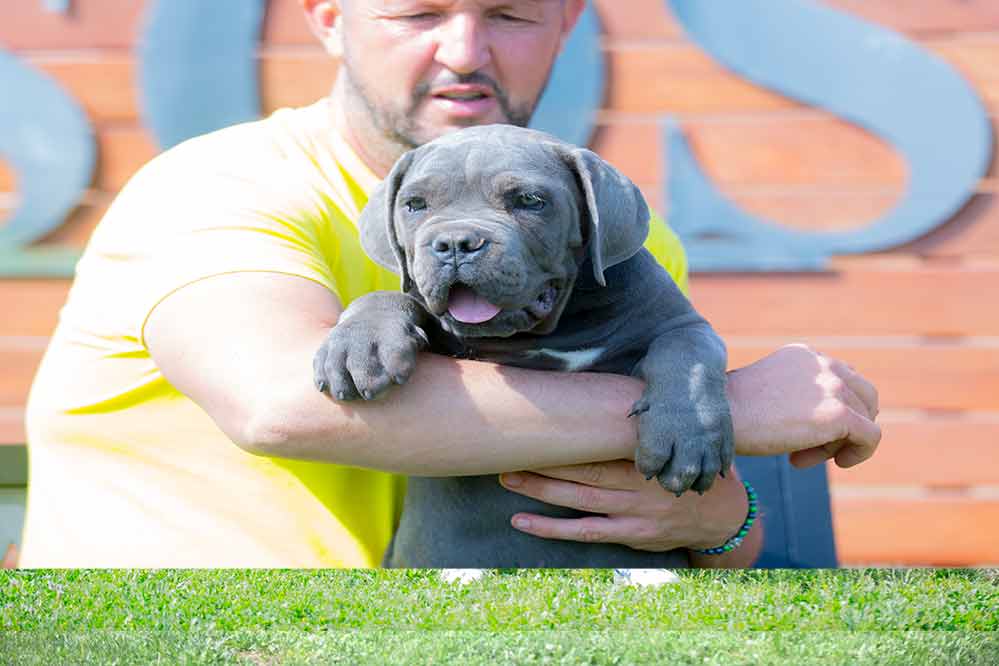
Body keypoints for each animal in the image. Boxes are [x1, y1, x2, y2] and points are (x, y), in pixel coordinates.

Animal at [316, 124, 740, 564]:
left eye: (530, 201)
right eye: (415, 205)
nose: (456, 243)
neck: (547, 332)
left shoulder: (681, 321)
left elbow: (687, 353)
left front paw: (687, 437)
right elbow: (388, 298)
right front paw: (358, 348)